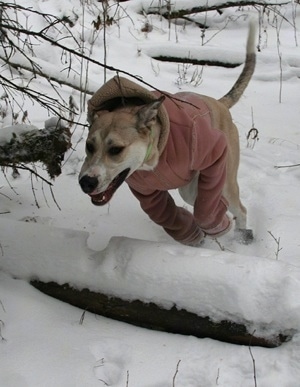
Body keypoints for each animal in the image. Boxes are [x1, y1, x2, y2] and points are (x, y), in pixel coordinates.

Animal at [79, 22, 255, 246]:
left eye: (116, 149)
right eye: (89, 146)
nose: (86, 182)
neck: (153, 158)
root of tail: (219, 103)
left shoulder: (212, 153)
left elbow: (205, 212)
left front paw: (216, 225)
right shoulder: (147, 193)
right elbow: (166, 214)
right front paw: (193, 236)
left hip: (224, 180)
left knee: (237, 207)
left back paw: (242, 234)